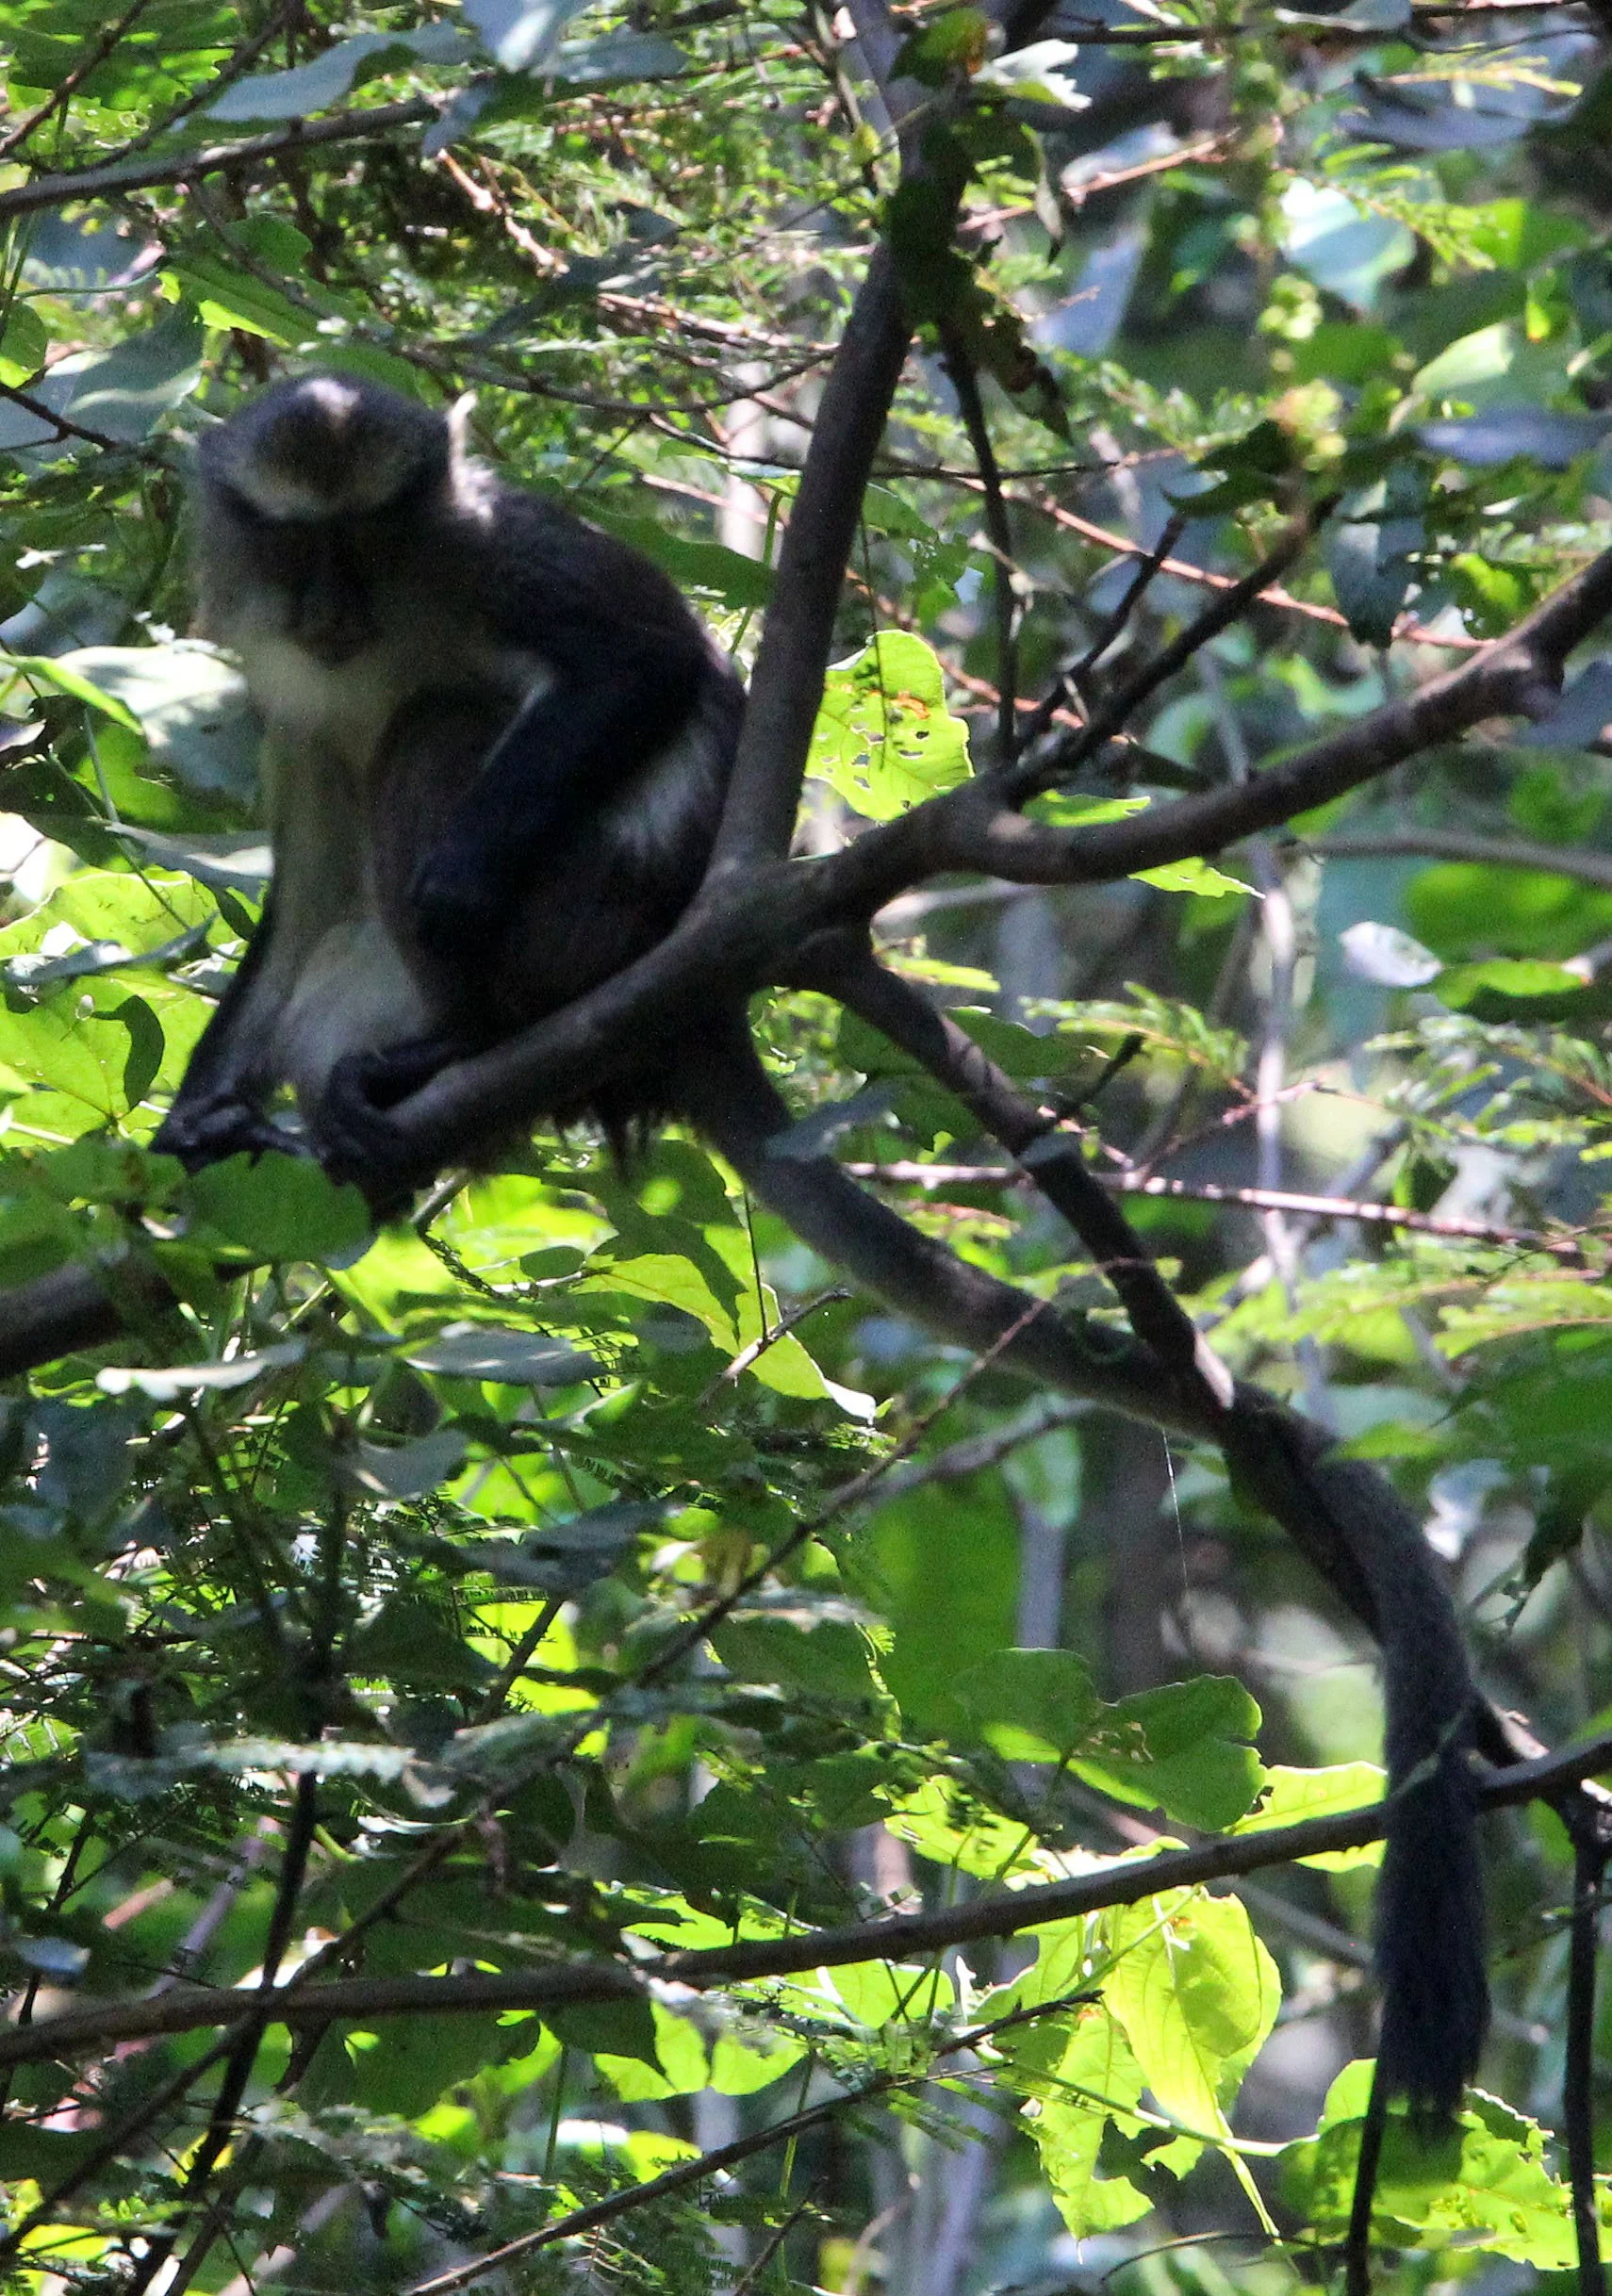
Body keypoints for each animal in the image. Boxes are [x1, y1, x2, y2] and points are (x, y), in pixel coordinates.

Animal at [153, 370, 744, 1181]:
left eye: (368, 537)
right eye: (296, 543)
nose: (329, 616)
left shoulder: (501, 557)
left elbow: (641, 661)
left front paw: (460, 876)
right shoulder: (297, 719)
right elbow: (308, 904)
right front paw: (189, 1128)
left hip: (578, 921)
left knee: (433, 724)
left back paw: (466, 1039)